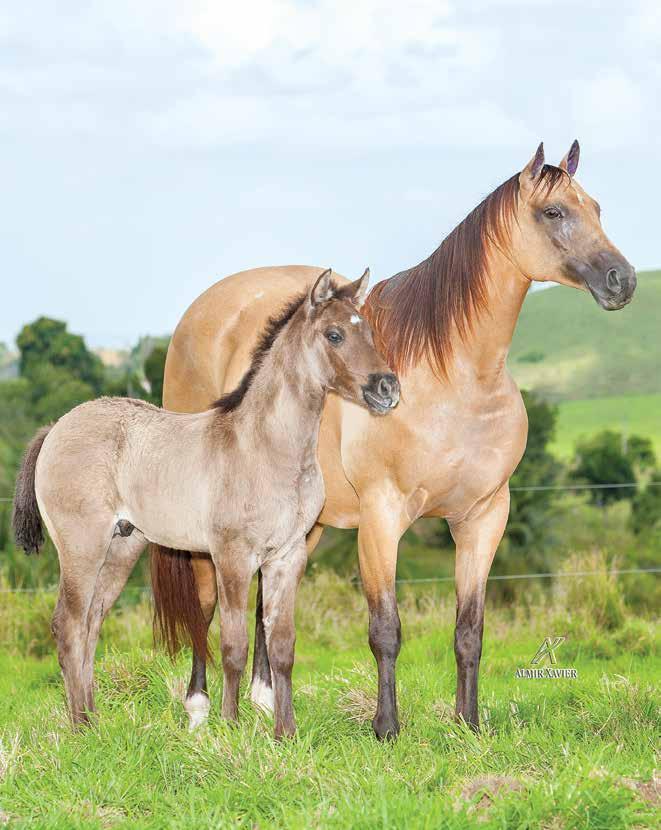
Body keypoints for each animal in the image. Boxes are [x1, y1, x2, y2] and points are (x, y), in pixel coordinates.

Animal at [14, 270, 398, 736]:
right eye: (335, 334)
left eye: (371, 332)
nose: (387, 387)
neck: (264, 448)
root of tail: (54, 428)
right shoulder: (232, 557)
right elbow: (234, 645)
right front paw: (230, 728)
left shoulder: (288, 557)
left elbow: (282, 645)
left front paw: (285, 733)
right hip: (81, 548)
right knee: (68, 625)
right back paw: (81, 729)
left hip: (121, 548)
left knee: (90, 624)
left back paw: (95, 722)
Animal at [153, 143, 636, 740]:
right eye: (553, 212)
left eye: (596, 207)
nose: (622, 279)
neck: (454, 378)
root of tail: (200, 314)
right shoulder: (382, 518)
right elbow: (385, 628)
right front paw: (386, 728)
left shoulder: (483, 518)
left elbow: (469, 631)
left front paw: (468, 724)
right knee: (204, 601)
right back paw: (199, 709)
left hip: (301, 524)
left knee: (267, 601)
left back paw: (265, 702)